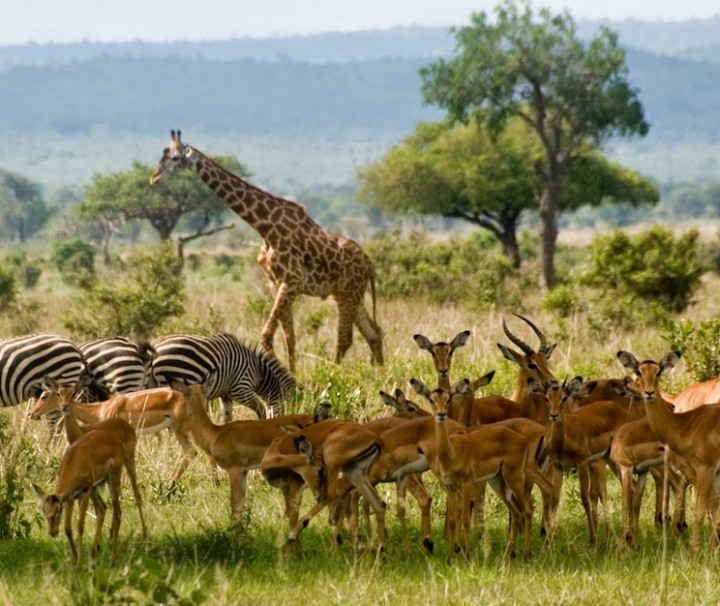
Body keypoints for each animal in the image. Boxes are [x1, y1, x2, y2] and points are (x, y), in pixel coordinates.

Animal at [149, 332, 296, 422]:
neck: (258, 372)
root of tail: (156, 345)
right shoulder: (240, 389)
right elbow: (261, 410)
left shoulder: (225, 395)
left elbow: (227, 417)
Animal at [150, 131, 386, 372]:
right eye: (162, 155)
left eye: (175, 158)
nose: (153, 179)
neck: (265, 227)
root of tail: (369, 263)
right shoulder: (276, 283)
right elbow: (288, 336)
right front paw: (292, 373)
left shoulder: (291, 281)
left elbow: (267, 335)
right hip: (349, 293)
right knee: (374, 332)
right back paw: (379, 373)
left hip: (348, 293)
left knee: (346, 337)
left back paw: (333, 372)